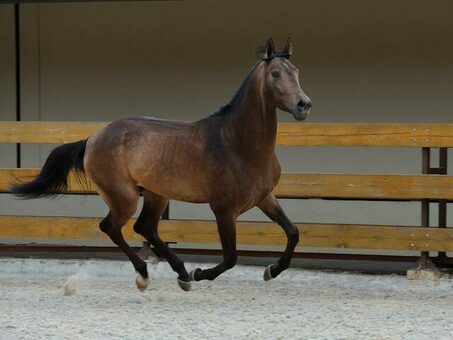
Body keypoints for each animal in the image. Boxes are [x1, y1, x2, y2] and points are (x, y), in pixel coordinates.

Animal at [12, 37, 312, 292]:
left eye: (296, 71)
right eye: (275, 74)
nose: (303, 105)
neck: (237, 144)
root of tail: (93, 137)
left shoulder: (265, 197)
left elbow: (293, 232)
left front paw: (272, 270)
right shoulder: (224, 210)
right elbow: (230, 258)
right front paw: (199, 274)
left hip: (156, 195)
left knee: (144, 228)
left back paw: (179, 272)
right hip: (125, 197)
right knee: (112, 228)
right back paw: (148, 275)